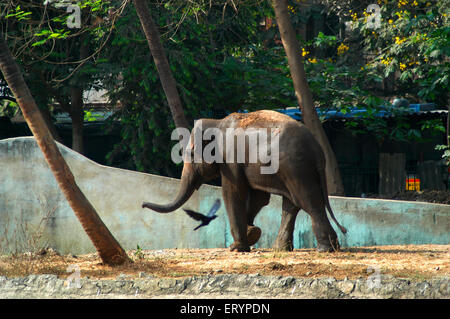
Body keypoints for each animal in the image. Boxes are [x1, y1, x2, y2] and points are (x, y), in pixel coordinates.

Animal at [142, 111, 346, 254]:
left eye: (191, 154)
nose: (143, 205)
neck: (217, 122)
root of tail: (318, 151)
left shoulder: (230, 158)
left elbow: (232, 193)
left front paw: (237, 247)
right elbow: (259, 198)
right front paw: (252, 233)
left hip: (296, 168)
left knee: (307, 201)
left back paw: (326, 249)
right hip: (292, 170)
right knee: (292, 204)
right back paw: (282, 249)